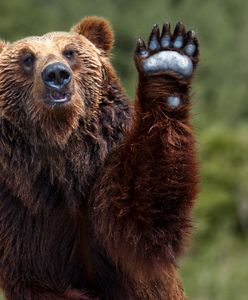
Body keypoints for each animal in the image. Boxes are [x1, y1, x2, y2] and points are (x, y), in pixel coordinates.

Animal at [0, 17, 199, 300]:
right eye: (27, 58)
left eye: (70, 52)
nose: (56, 74)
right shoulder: (16, 206)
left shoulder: (106, 166)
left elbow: (141, 217)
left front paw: (167, 58)